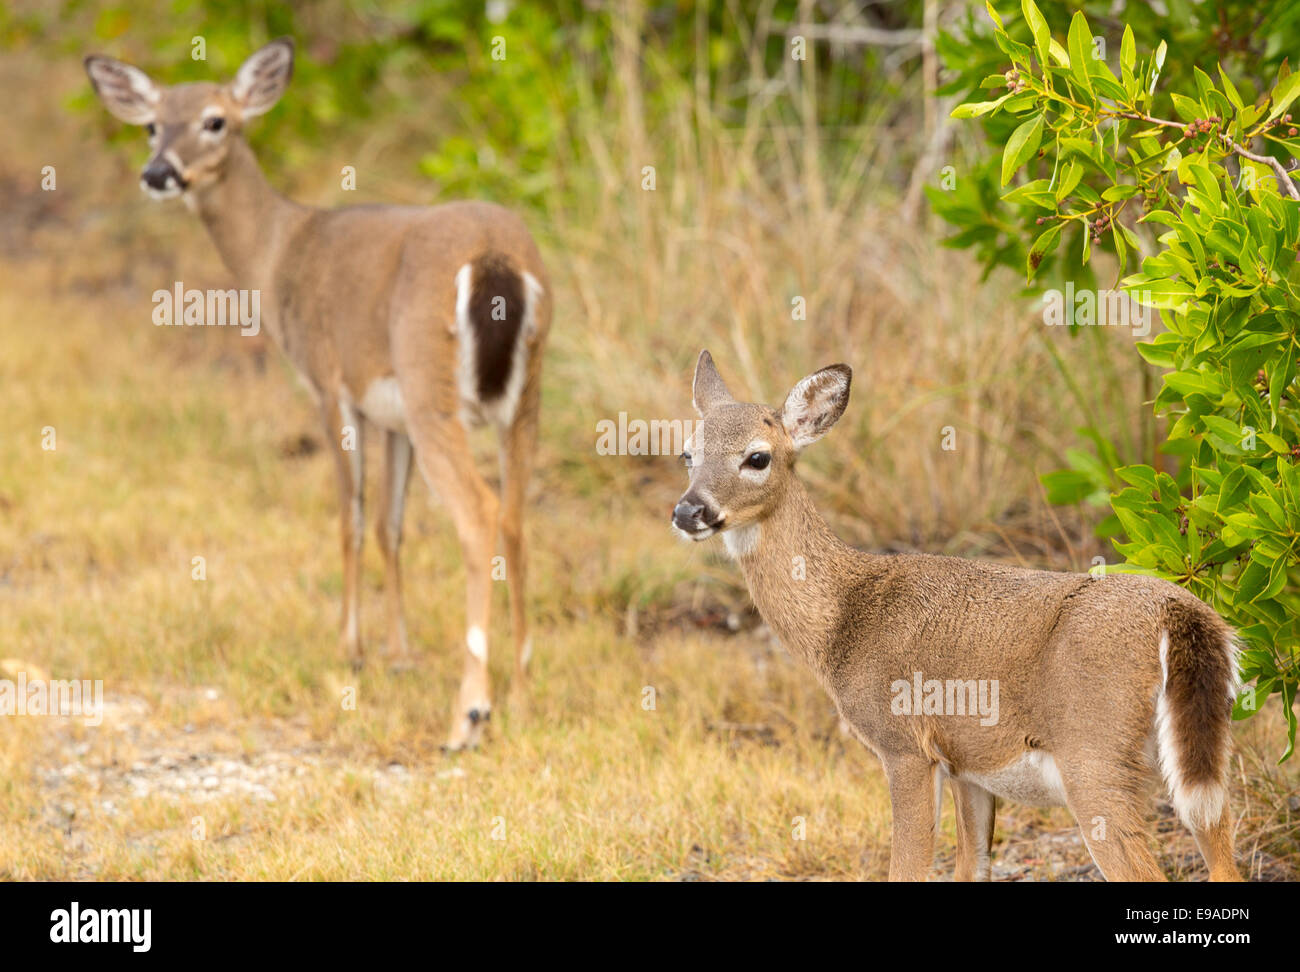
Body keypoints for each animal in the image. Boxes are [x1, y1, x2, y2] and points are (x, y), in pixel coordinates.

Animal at [84, 38, 551, 750]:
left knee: (479, 512)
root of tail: (498, 258)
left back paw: (469, 713)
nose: (158, 173)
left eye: (216, 120)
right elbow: (390, 525)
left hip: (432, 386)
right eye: (150, 125)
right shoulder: (389, 413)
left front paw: (350, 650)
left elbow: (350, 520)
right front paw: (399, 654)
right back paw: (522, 696)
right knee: (518, 513)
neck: (280, 252)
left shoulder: (330, 383)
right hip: (522, 396)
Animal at [673, 350, 1242, 881]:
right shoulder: (968, 766)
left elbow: (907, 867)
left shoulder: (903, 744)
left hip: (1095, 755)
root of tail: (1177, 612)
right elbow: (972, 866)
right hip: (1200, 758)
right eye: (687, 453)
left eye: (757, 457)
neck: (844, 616)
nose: (688, 511)